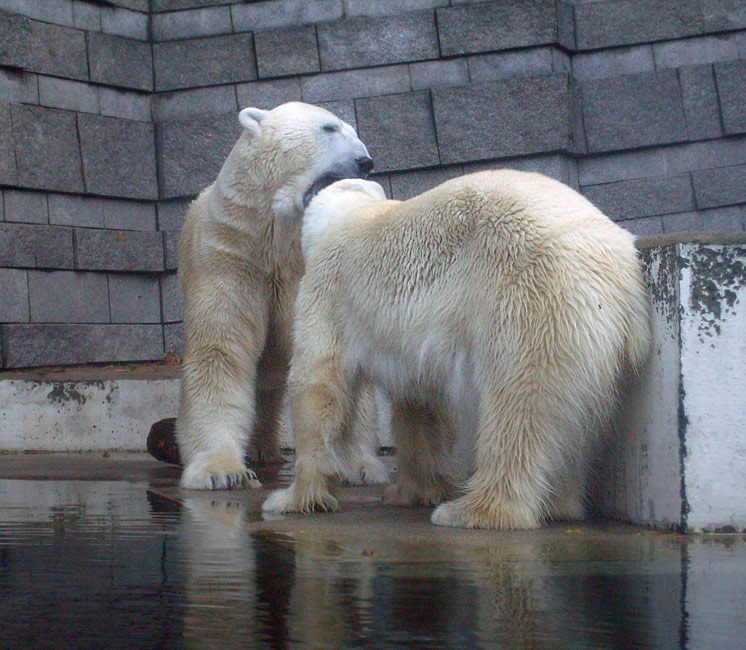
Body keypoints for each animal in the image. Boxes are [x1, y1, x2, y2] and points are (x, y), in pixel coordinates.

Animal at [176, 100, 390, 486]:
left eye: (354, 131)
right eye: (329, 128)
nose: (366, 161)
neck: (275, 239)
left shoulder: (306, 269)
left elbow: (336, 354)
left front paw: (361, 465)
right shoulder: (231, 258)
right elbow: (220, 349)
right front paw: (221, 471)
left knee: (270, 378)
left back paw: (266, 447)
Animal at [264, 171, 652, 528]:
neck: (350, 213)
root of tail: (620, 275)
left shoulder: (328, 289)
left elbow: (316, 382)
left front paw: (293, 498)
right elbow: (419, 405)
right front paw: (412, 491)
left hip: (528, 297)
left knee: (518, 404)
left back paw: (474, 510)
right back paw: (560, 504)